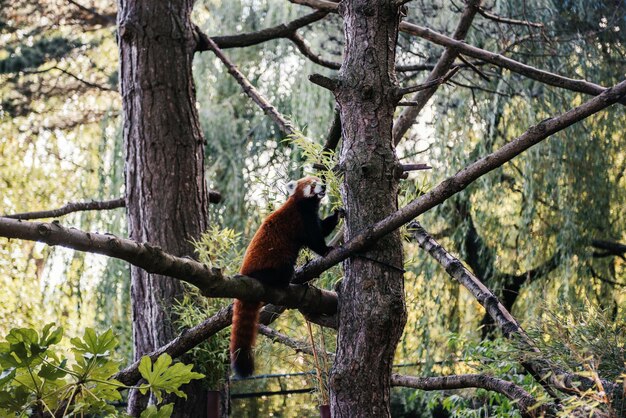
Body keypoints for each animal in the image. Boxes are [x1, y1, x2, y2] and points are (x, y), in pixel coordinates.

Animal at [229, 175, 338, 378]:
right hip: (272, 265)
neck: (305, 204)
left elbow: (323, 227)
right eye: (312, 184)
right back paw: (281, 281)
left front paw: (337, 213)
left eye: (319, 180)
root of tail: (247, 273)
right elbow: (315, 239)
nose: (323, 185)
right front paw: (327, 249)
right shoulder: (302, 219)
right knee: (284, 269)